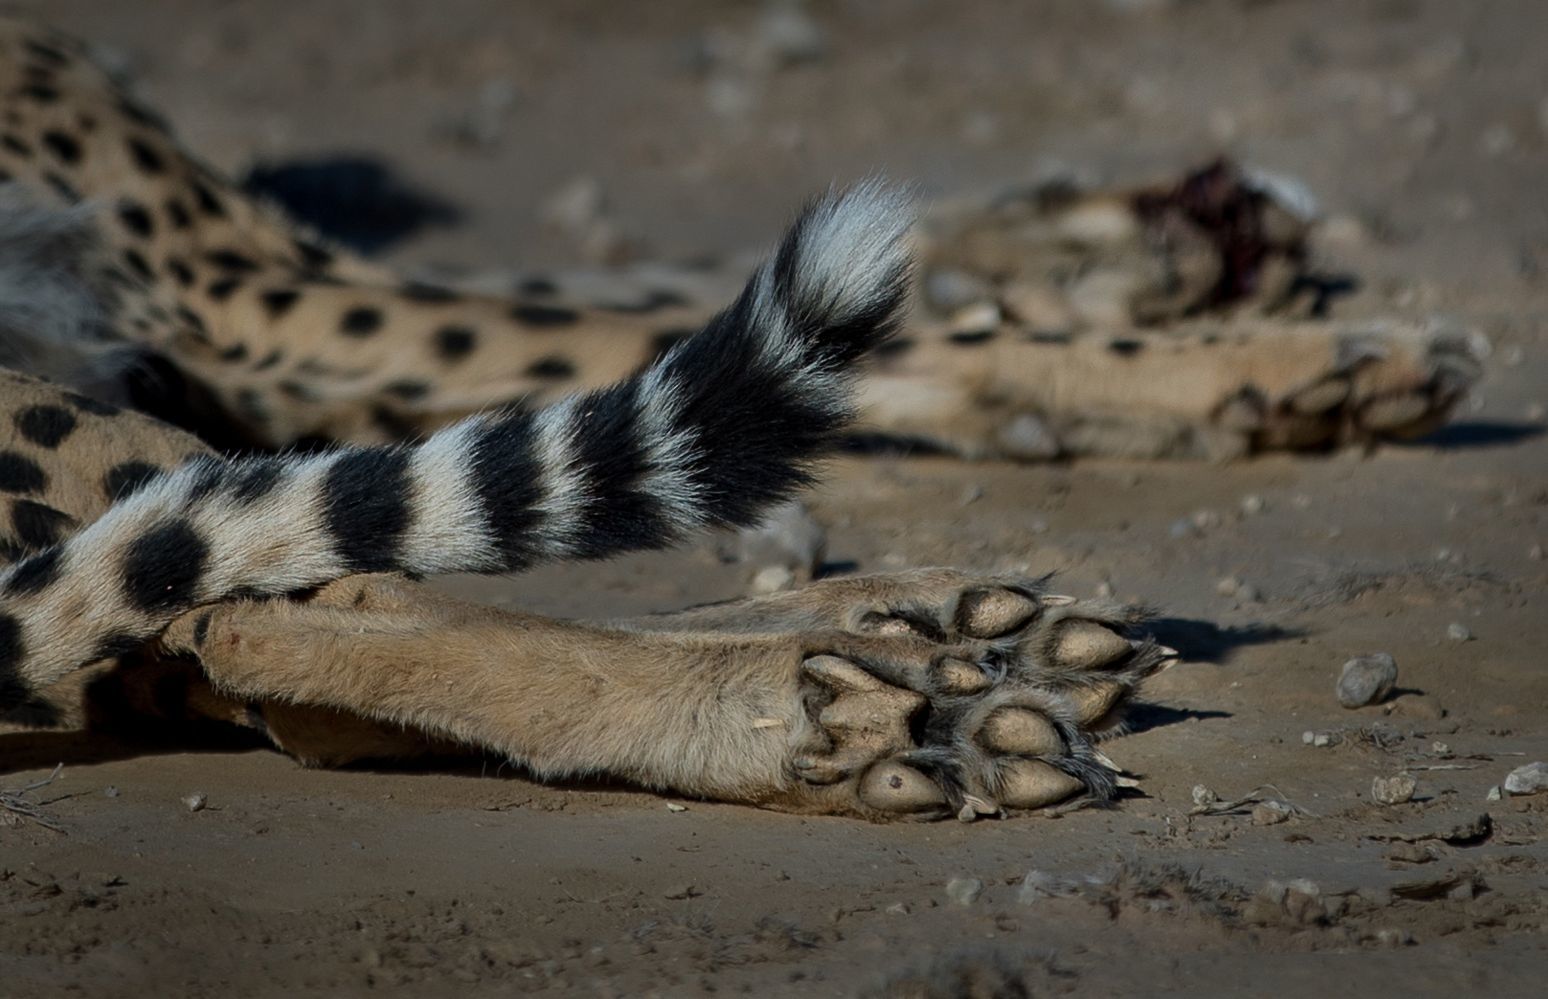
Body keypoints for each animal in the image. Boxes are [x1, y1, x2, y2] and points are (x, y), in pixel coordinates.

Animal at [0, 17, 1473, 817]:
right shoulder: (253, 302)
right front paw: (1261, 344)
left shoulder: (265, 312)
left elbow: (690, 300)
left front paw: (1164, 253)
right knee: (246, 627)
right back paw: (868, 713)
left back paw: (945, 629)